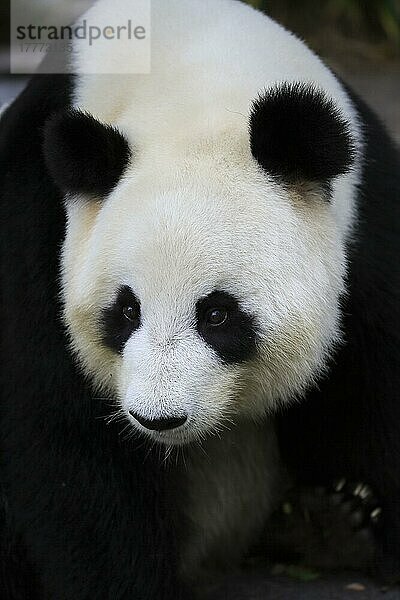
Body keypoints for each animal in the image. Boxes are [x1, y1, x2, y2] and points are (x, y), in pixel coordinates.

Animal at [0, 0, 400, 596]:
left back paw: (328, 525)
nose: (158, 419)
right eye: (126, 311)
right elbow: (63, 437)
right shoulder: (34, 217)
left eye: (216, 314)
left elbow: (378, 384)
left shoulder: (365, 225)